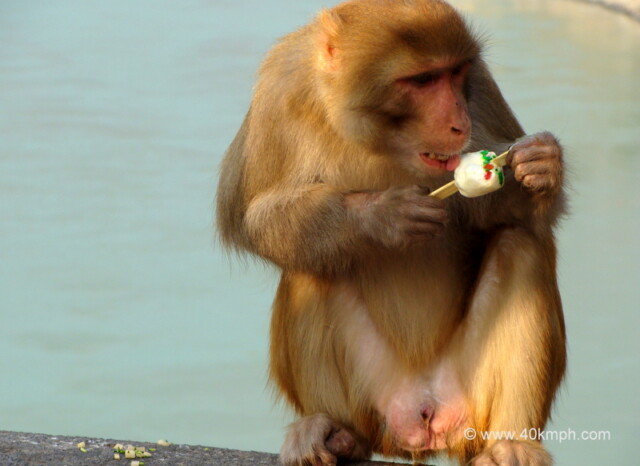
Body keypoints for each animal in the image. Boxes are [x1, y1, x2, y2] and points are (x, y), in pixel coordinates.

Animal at [216, 0, 567, 465]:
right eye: (422, 80)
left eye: (454, 73)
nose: (459, 122)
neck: (378, 139)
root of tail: (422, 419)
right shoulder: (279, 86)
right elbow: (250, 215)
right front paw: (383, 216)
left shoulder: (480, 87)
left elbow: (507, 213)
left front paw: (541, 165)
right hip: (374, 397)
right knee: (310, 263)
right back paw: (335, 432)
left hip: (466, 397)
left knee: (519, 243)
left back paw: (511, 443)